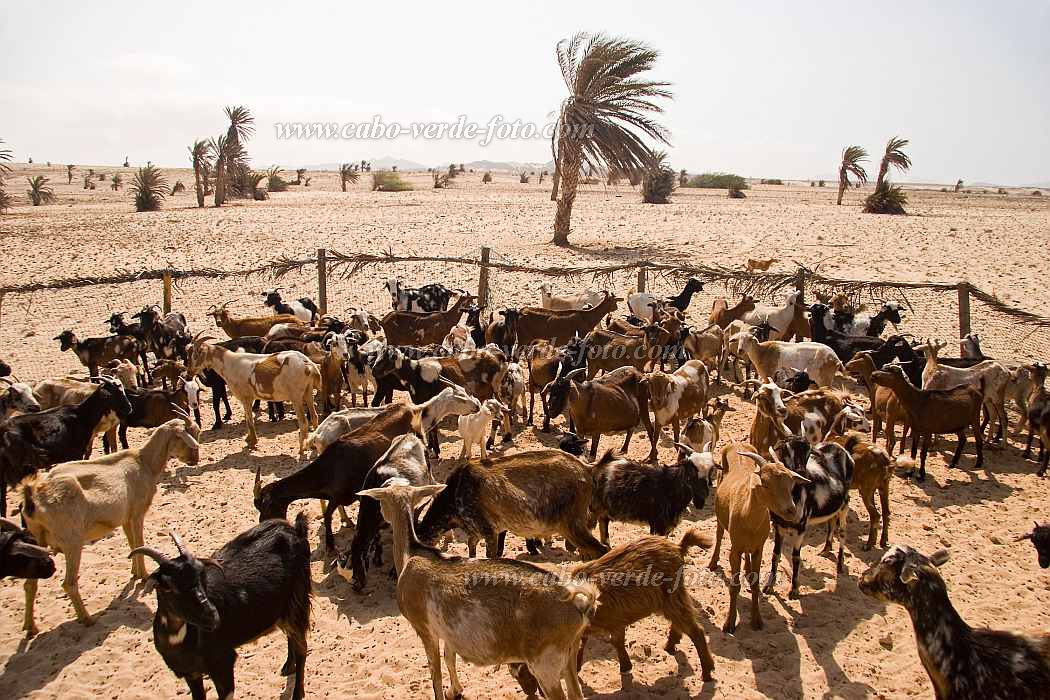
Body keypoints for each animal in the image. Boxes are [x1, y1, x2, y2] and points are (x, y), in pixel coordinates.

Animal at [133, 520, 310, 700]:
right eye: (168, 587)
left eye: (201, 574)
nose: (211, 616)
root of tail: (294, 529)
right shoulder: (191, 673)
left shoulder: (222, 664)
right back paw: (288, 666)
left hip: (297, 601)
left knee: (302, 647)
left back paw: (297, 692)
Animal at [359, 484, 600, 700]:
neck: (411, 555)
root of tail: (576, 601)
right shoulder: (448, 632)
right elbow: (449, 658)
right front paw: (455, 691)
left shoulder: (424, 629)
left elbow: (435, 672)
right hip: (569, 654)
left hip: (546, 663)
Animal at [705, 442, 810, 633]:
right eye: (766, 483)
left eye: (791, 484)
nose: (791, 510)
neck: (748, 518)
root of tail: (736, 443)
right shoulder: (735, 550)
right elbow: (734, 586)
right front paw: (729, 623)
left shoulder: (758, 549)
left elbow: (755, 584)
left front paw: (757, 620)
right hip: (719, 515)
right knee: (719, 534)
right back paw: (713, 562)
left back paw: (747, 569)